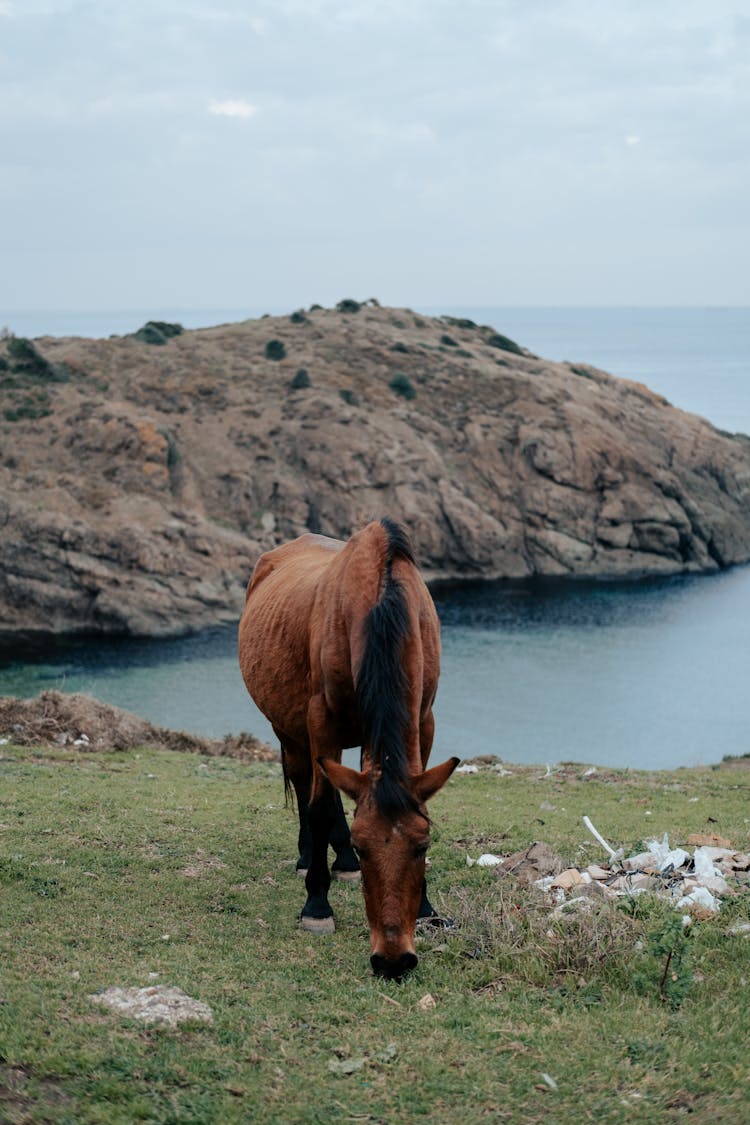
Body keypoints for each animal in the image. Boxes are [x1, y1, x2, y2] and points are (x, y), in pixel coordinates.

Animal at [239, 517, 458, 976]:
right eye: (363, 845)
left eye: (423, 846)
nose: (393, 961)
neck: (380, 603)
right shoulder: (322, 723)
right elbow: (321, 809)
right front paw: (317, 905)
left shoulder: (423, 721)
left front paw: (427, 910)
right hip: (289, 731)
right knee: (305, 785)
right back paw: (311, 858)